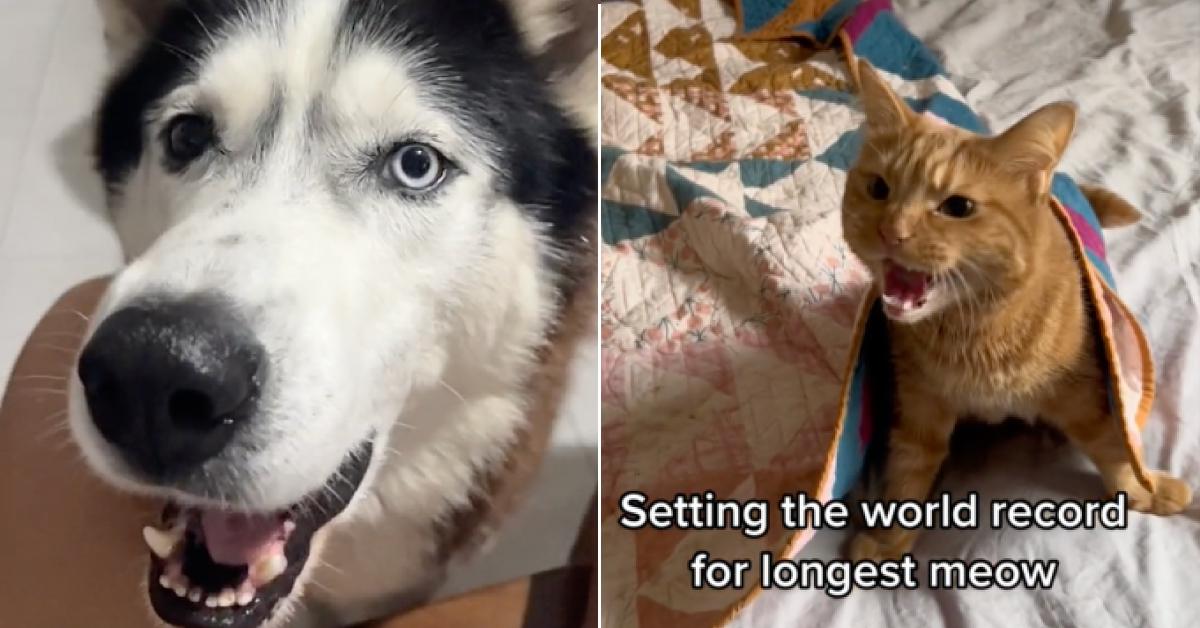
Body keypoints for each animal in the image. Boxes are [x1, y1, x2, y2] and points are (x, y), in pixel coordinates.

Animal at [844, 58, 1190, 559]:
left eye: (957, 206)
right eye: (878, 188)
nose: (893, 231)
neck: (974, 331)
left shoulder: (1083, 393)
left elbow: (1112, 445)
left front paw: (1146, 489)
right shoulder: (919, 405)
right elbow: (908, 470)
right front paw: (888, 543)